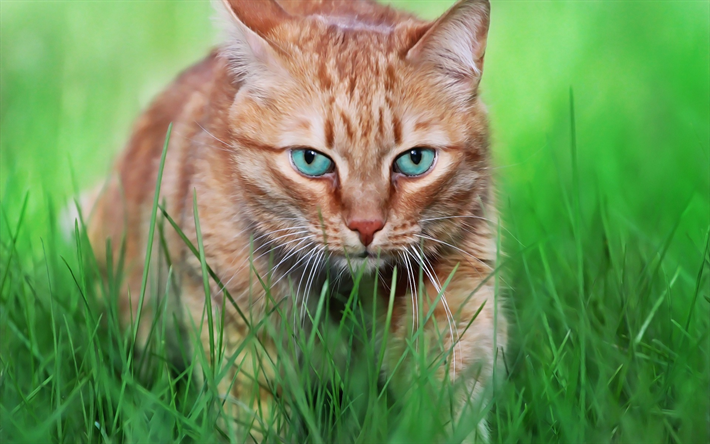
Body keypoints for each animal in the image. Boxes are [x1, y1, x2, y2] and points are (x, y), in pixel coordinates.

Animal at [85, 0, 506, 440]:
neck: (345, 291)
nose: (367, 226)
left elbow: (446, 408)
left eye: (415, 160)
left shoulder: (458, 306)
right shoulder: (239, 330)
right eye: (311, 160)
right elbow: (254, 417)